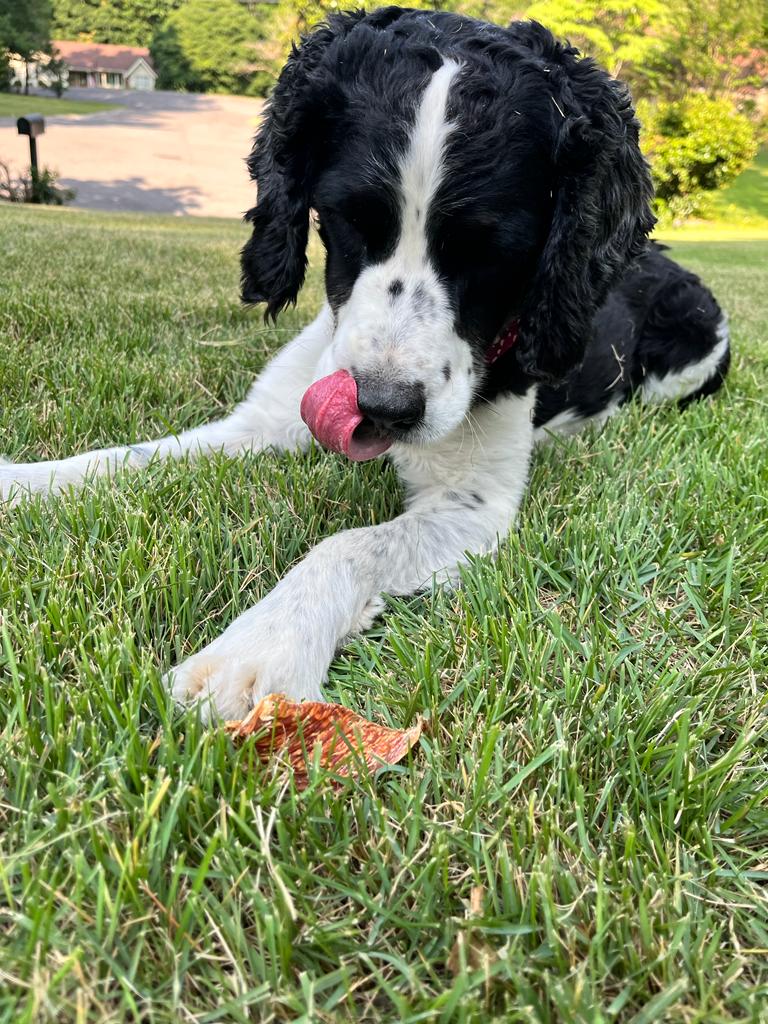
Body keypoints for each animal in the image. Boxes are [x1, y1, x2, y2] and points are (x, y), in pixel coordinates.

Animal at [1, 8, 733, 720]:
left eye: (497, 250)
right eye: (347, 217)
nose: (381, 408)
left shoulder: (473, 505)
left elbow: (351, 541)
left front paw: (261, 647)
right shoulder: (263, 421)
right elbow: (127, 457)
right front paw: (22, 482)